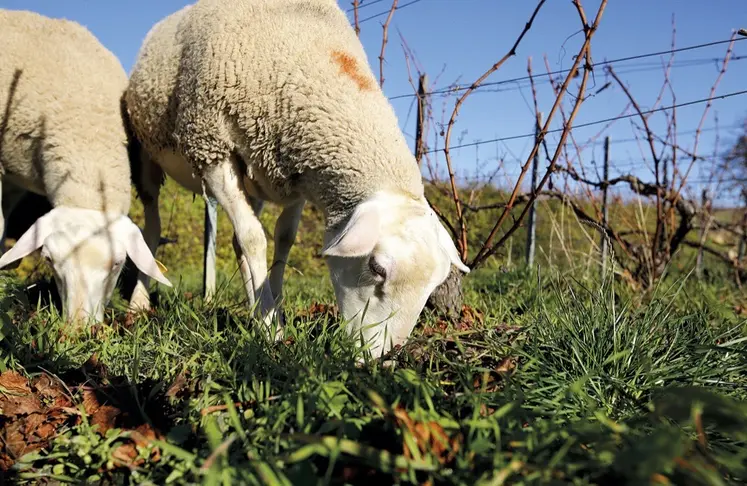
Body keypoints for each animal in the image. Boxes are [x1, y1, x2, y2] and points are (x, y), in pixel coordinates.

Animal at [125, 0, 470, 356]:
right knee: (154, 228)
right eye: (376, 269)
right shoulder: (212, 150)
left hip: (254, 178)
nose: (381, 358)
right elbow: (254, 238)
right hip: (146, 154)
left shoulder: (297, 174)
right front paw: (269, 328)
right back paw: (138, 304)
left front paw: (272, 310)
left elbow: (283, 239)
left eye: (434, 285)